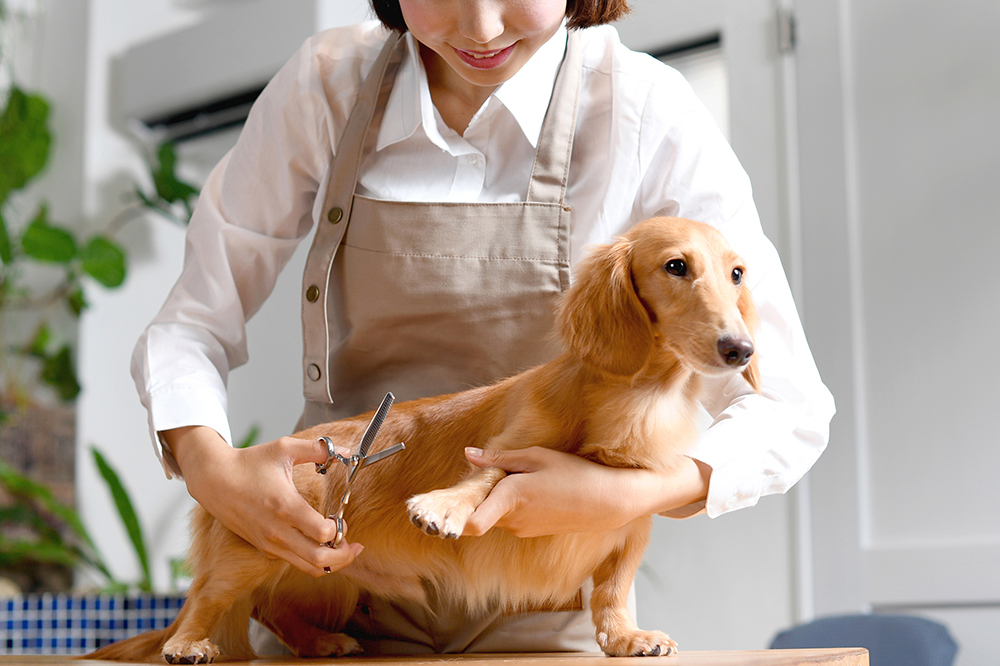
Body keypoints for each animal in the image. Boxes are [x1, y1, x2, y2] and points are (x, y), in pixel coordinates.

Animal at [88, 217, 756, 660]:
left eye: (736, 273)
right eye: (676, 266)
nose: (742, 349)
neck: (635, 402)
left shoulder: (630, 524)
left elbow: (613, 591)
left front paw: (624, 637)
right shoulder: (509, 445)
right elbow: (486, 477)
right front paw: (443, 506)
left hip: (323, 573)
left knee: (274, 607)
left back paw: (320, 640)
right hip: (258, 543)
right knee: (211, 596)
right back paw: (189, 641)